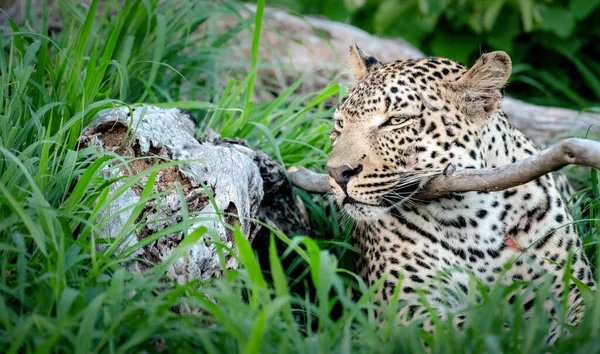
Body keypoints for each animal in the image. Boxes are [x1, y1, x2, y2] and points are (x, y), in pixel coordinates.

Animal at [328, 44, 596, 340]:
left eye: (396, 120)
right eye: (340, 124)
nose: (336, 172)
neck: (473, 217)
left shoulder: (575, 291)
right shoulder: (407, 309)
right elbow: (473, 329)